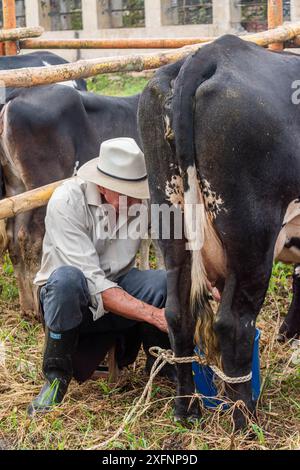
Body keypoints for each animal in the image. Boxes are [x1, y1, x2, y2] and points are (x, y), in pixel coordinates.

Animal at [139, 35, 300, 428]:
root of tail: (212, 52)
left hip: (171, 224)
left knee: (177, 314)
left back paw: (187, 409)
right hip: (251, 239)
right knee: (233, 323)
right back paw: (245, 420)